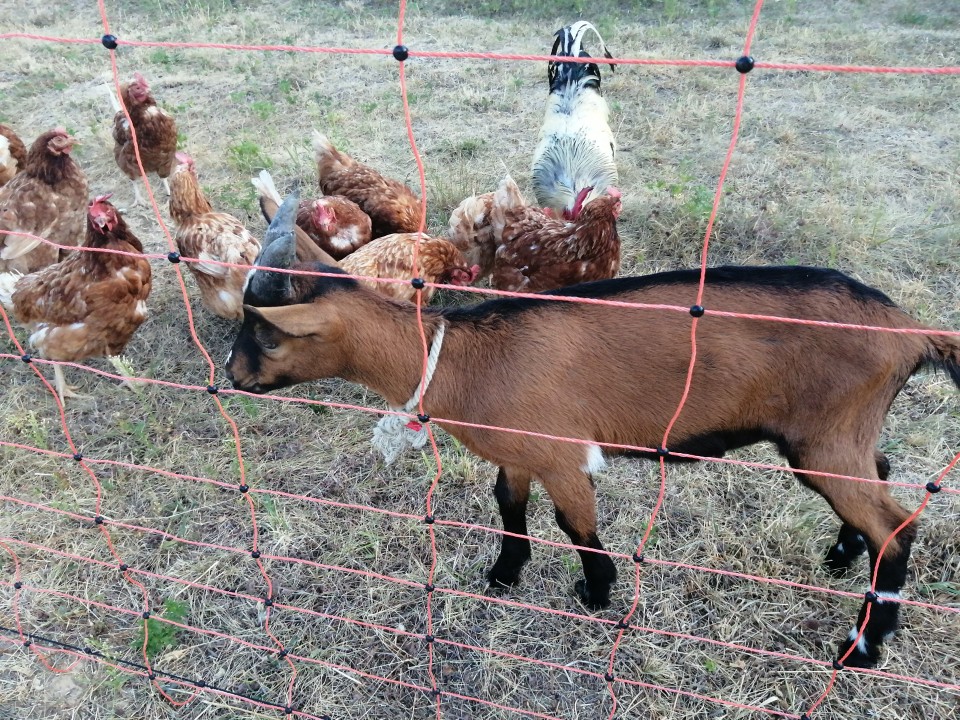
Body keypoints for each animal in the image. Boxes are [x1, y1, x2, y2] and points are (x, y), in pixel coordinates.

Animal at [227, 231, 960, 668]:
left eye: (265, 334)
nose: (232, 376)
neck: (461, 357)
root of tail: (908, 330)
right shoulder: (520, 449)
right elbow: (507, 504)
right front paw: (505, 574)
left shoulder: (562, 455)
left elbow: (575, 522)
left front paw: (597, 591)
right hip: (835, 433)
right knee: (881, 476)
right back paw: (842, 555)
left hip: (827, 434)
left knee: (896, 526)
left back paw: (863, 647)